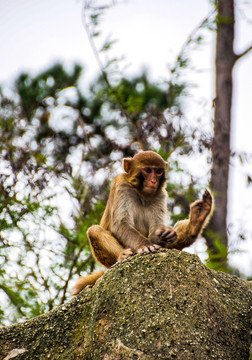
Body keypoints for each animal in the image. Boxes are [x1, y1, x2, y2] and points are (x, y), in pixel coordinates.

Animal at [72, 150, 214, 294]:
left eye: (158, 171)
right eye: (148, 170)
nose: (153, 181)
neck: (141, 193)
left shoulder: (160, 194)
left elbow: (156, 230)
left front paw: (164, 233)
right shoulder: (122, 186)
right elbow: (121, 224)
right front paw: (145, 245)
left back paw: (196, 220)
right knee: (94, 230)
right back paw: (122, 256)